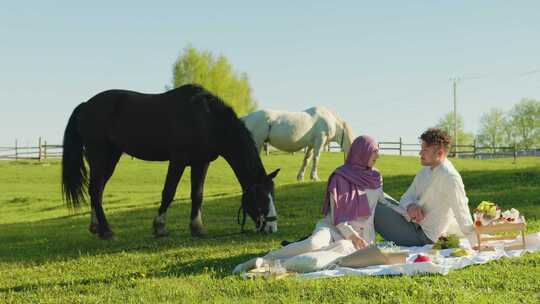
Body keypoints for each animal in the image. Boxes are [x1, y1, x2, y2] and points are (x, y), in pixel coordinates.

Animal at [61, 83, 280, 240]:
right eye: (261, 196)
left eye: (272, 194)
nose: (271, 227)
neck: (206, 119)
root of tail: (86, 105)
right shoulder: (178, 160)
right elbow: (168, 192)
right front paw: (159, 227)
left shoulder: (201, 163)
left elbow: (197, 195)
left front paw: (197, 228)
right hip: (99, 155)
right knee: (96, 190)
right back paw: (107, 231)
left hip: (111, 157)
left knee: (96, 190)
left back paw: (96, 227)